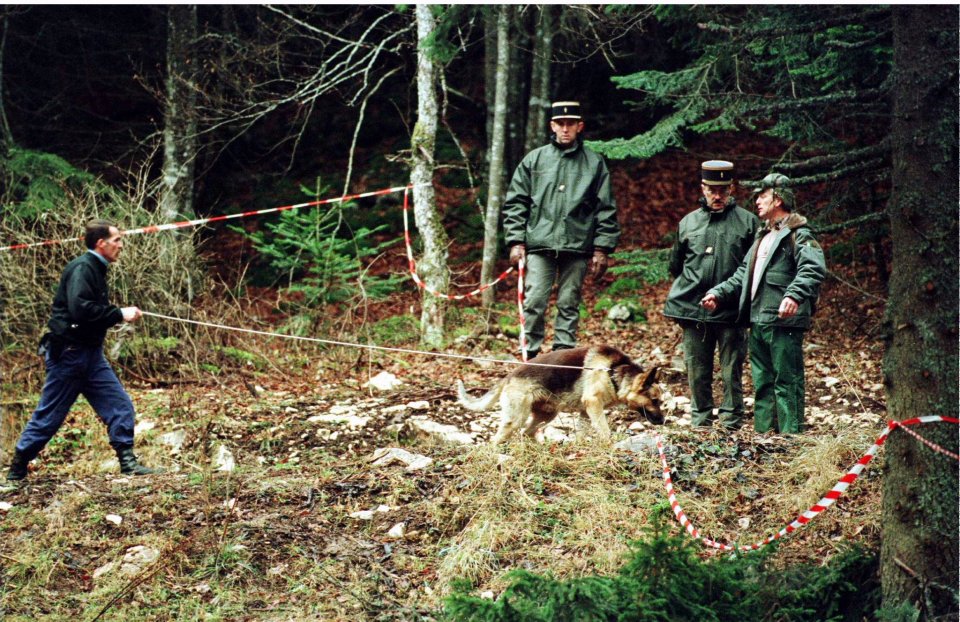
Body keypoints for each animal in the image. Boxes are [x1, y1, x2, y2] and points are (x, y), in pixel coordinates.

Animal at [456, 346, 660, 444]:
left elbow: (582, 433)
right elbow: (604, 430)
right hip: (515, 419)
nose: (663, 421)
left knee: (528, 433)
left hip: (546, 415)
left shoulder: (586, 412)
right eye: (655, 400)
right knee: (497, 440)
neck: (614, 370)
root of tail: (509, 376)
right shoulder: (593, 404)